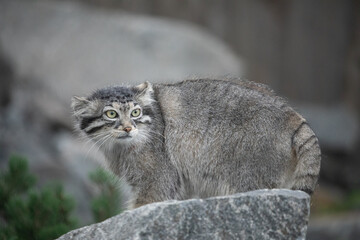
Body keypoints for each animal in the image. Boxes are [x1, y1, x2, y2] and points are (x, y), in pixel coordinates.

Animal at [71, 79, 320, 208]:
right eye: (111, 114)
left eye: (135, 112)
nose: (128, 128)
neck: (119, 150)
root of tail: (293, 116)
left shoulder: (157, 181)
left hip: (248, 180)